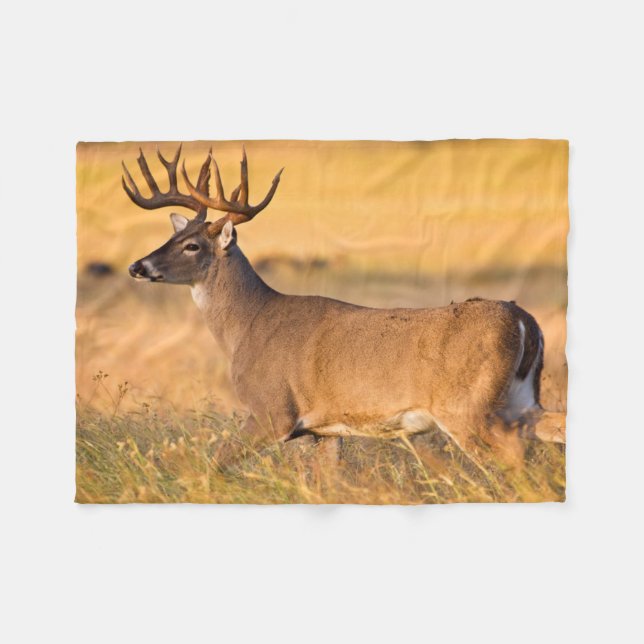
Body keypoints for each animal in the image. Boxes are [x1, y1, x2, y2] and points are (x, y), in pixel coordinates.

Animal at [123, 145, 565, 470]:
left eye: (192, 245)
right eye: (172, 236)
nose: (137, 266)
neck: (248, 326)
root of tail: (525, 320)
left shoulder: (272, 409)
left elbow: (214, 463)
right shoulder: (327, 431)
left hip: (467, 405)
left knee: (512, 451)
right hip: (520, 398)